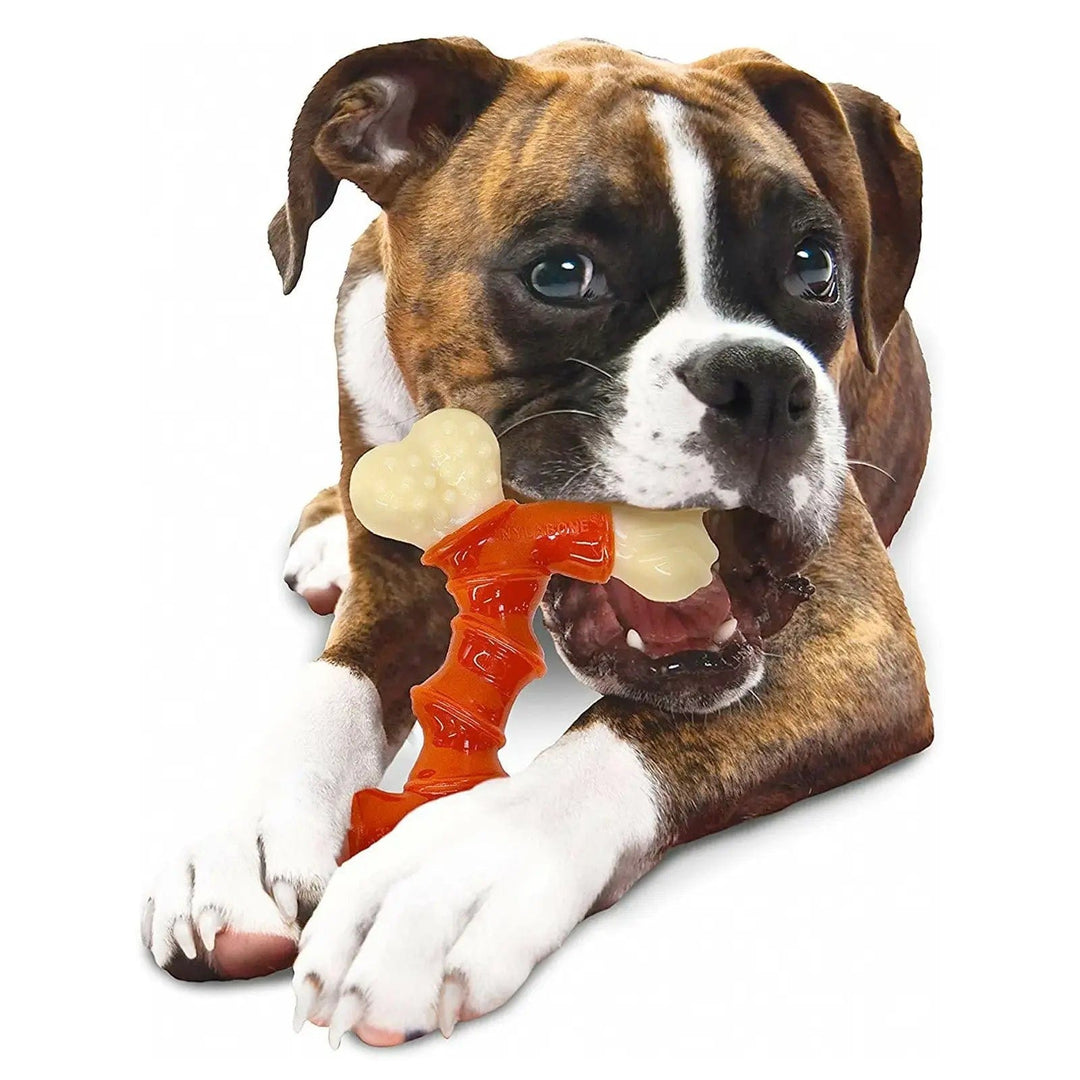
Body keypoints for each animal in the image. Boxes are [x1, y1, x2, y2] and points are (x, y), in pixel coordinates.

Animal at [143, 39, 933, 1045]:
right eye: (562, 275)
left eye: (815, 267)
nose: (762, 383)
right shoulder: (395, 592)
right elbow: (327, 690)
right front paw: (244, 839)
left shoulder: (859, 632)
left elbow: (621, 735)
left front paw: (444, 872)